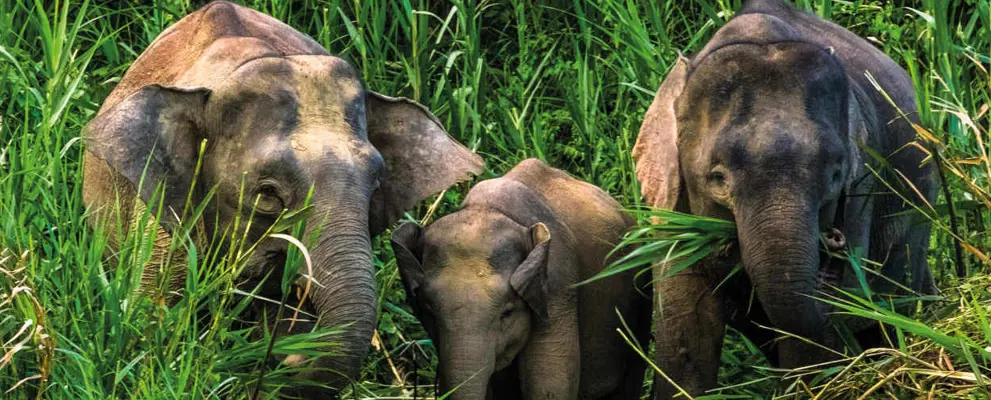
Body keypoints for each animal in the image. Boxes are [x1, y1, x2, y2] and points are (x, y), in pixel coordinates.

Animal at [632, 0, 937, 397]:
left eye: (836, 174)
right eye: (718, 178)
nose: (833, 243)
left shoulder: (862, 188)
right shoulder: (669, 205)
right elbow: (688, 332)